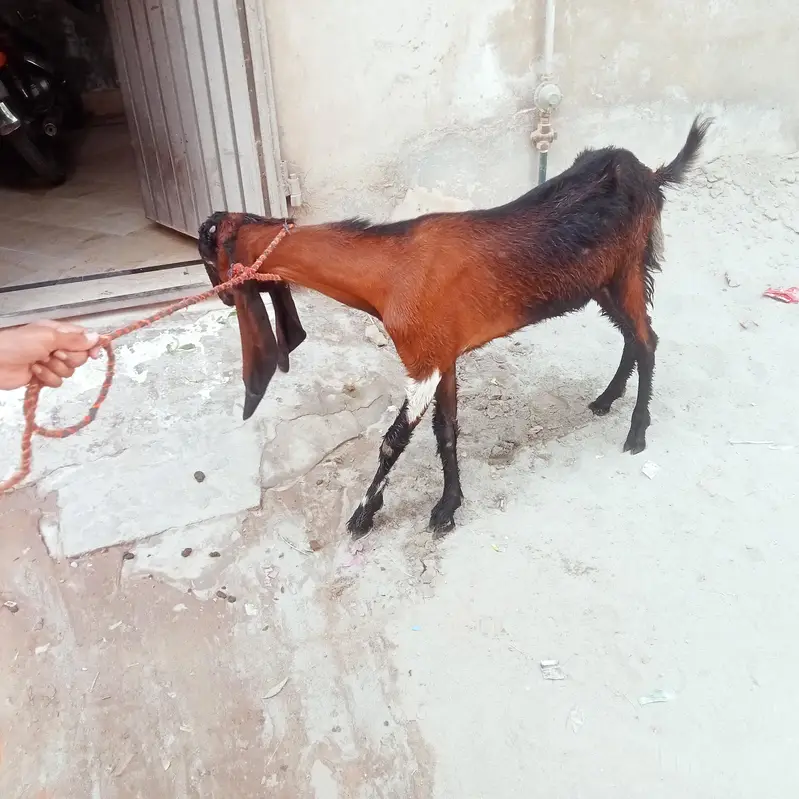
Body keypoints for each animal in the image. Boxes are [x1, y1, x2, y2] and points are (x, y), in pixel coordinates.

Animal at [199, 115, 711, 539]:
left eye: (207, 255)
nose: (222, 296)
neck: (388, 272)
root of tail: (650, 174)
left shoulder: (423, 363)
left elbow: (393, 442)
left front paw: (364, 515)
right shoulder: (442, 357)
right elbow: (445, 432)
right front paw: (448, 507)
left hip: (627, 270)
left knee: (647, 340)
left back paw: (637, 432)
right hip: (603, 282)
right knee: (632, 337)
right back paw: (607, 399)